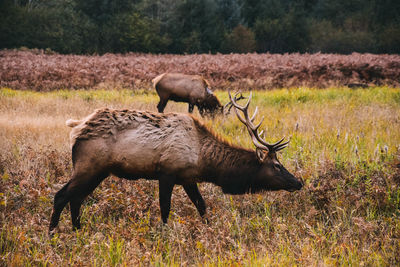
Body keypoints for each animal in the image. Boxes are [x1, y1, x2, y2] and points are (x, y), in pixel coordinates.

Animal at [48, 91, 302, 233]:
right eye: (276, 165)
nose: (299, 182)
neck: (203, 159)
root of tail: (76, 127)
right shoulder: (167, 172)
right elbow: (165, 208)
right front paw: (165, 235)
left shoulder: (188, 178)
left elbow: (202, 206)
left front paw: (209, 231)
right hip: (88, 166)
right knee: (61, 195)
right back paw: (52, 234)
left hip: (99, 171)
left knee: (76, 198)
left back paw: (78, 232)